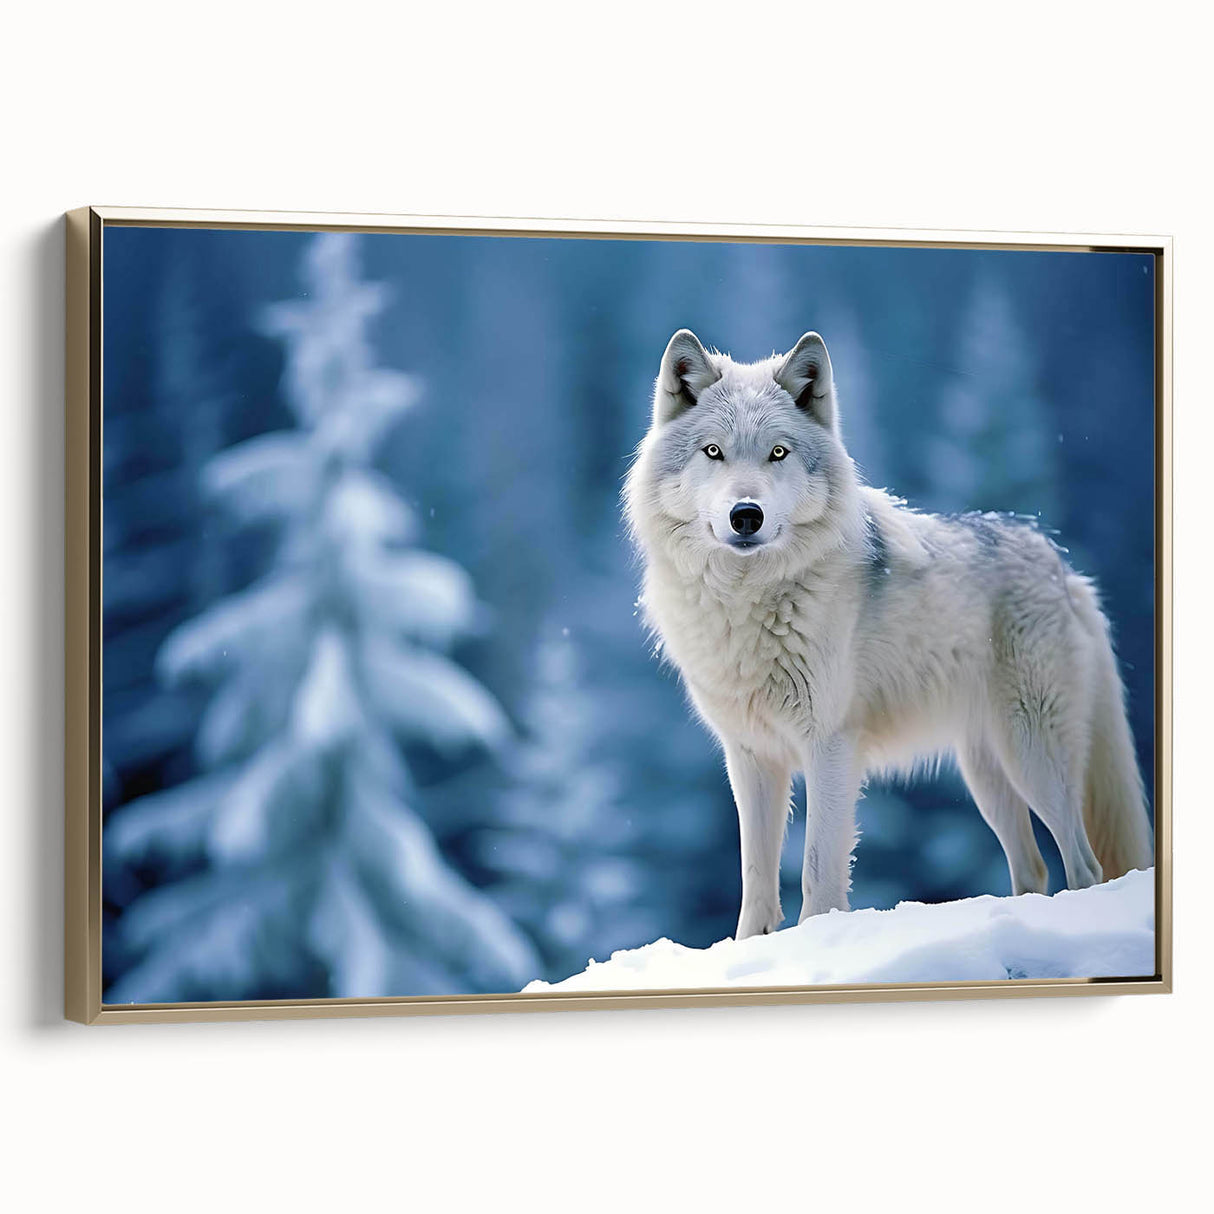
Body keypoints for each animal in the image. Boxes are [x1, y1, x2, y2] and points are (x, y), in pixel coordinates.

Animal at [624, 328, 1153, 939]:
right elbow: (755, 880)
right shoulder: (752, 757)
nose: (746, 515)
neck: (747, 603)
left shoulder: (830, 746)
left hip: (1033, 757)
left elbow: (817, 871)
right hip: (988, 776)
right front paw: (752, 947)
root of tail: (1065, 570)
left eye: (778, 452)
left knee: (1084, 866)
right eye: (713, 452)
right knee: (1035, 869)